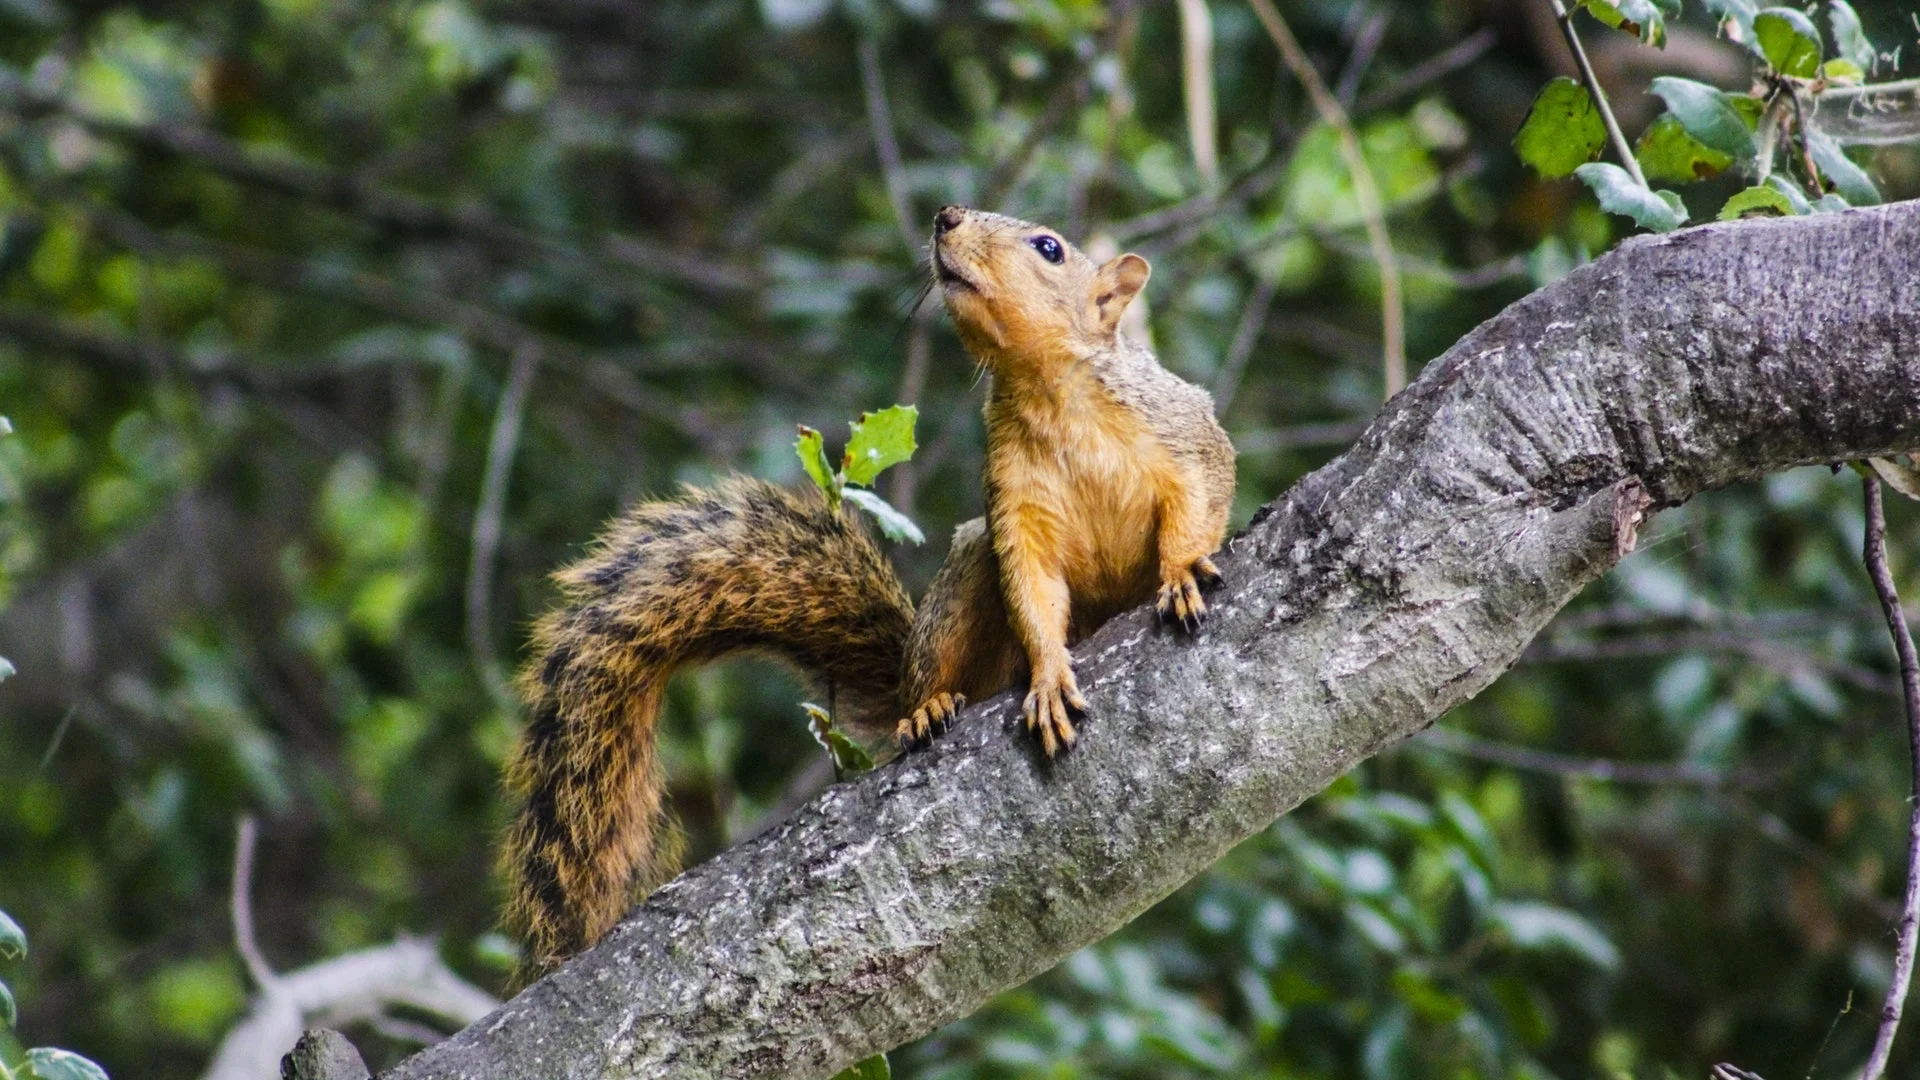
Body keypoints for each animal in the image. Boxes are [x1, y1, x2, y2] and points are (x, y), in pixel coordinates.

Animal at [500, 206, 1237, 969]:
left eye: (1050, 248)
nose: (946, 217)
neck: (1050, 393)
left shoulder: (1181, 431)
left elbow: (1198, 502)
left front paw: (1182, 574)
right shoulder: (1015, 508)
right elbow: (1033, 593)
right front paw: (1049, 676)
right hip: (966, 580)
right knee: (943, 657)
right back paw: (928, 707)